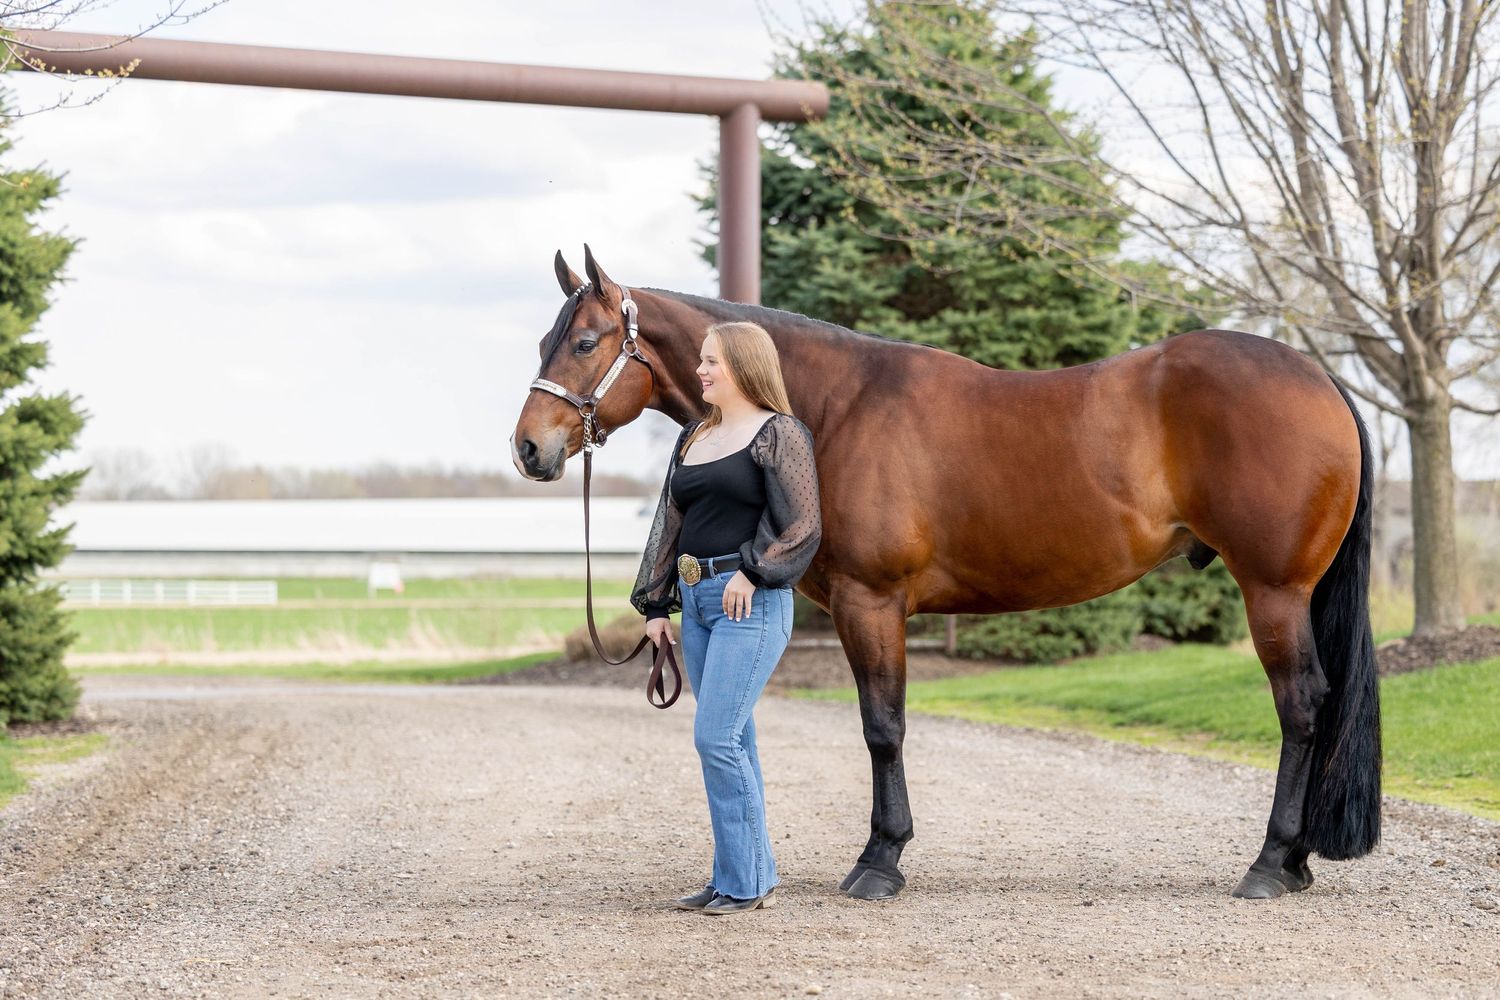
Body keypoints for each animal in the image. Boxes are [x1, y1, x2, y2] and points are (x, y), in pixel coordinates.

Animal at [511, 246, 1380, 902]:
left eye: (584, 342)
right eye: (545, 339)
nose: (529, 448)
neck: (834, 406)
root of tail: (1321, 378)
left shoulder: (871, 603)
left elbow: (882, 727)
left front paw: (879, 860)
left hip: (1274, 592)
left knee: (1302, 706)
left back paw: (1271, 864)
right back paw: (1294, 863)